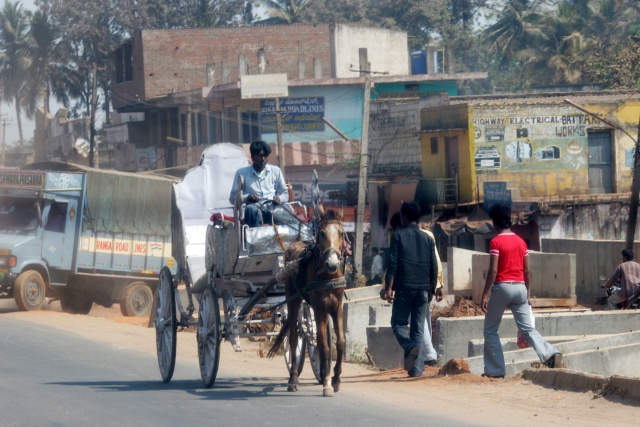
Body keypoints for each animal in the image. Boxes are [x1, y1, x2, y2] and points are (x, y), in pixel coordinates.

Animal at [268, 207, 348, 398]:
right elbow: (323, 347)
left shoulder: (336, 308)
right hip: (293, 298)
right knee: (293, 337)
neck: (328, 276)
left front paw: (336, 379)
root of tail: (292, 245)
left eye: (341, 233)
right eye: (322, 233)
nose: (332, 263)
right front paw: (326, 383)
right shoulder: (319, 309)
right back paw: (293, 378)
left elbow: (340, 343)